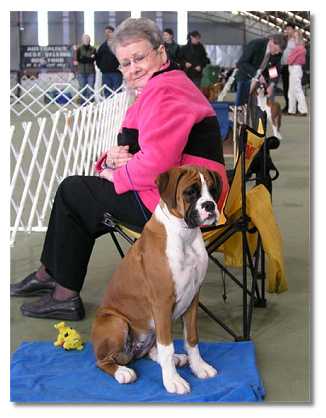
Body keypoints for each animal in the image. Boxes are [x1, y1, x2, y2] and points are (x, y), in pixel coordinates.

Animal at [92, 165, 222, 394]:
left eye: (213, 190)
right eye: (190, 192)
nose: (210, 205)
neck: (184, 235)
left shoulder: (193, 298)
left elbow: (191, 338)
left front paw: (199, 367)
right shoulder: (162, 303)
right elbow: (167, 347)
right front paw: (173, 381)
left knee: (150, 352)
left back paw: (178, 359)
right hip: (117, 322)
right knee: (103, 361)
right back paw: (122, 372)